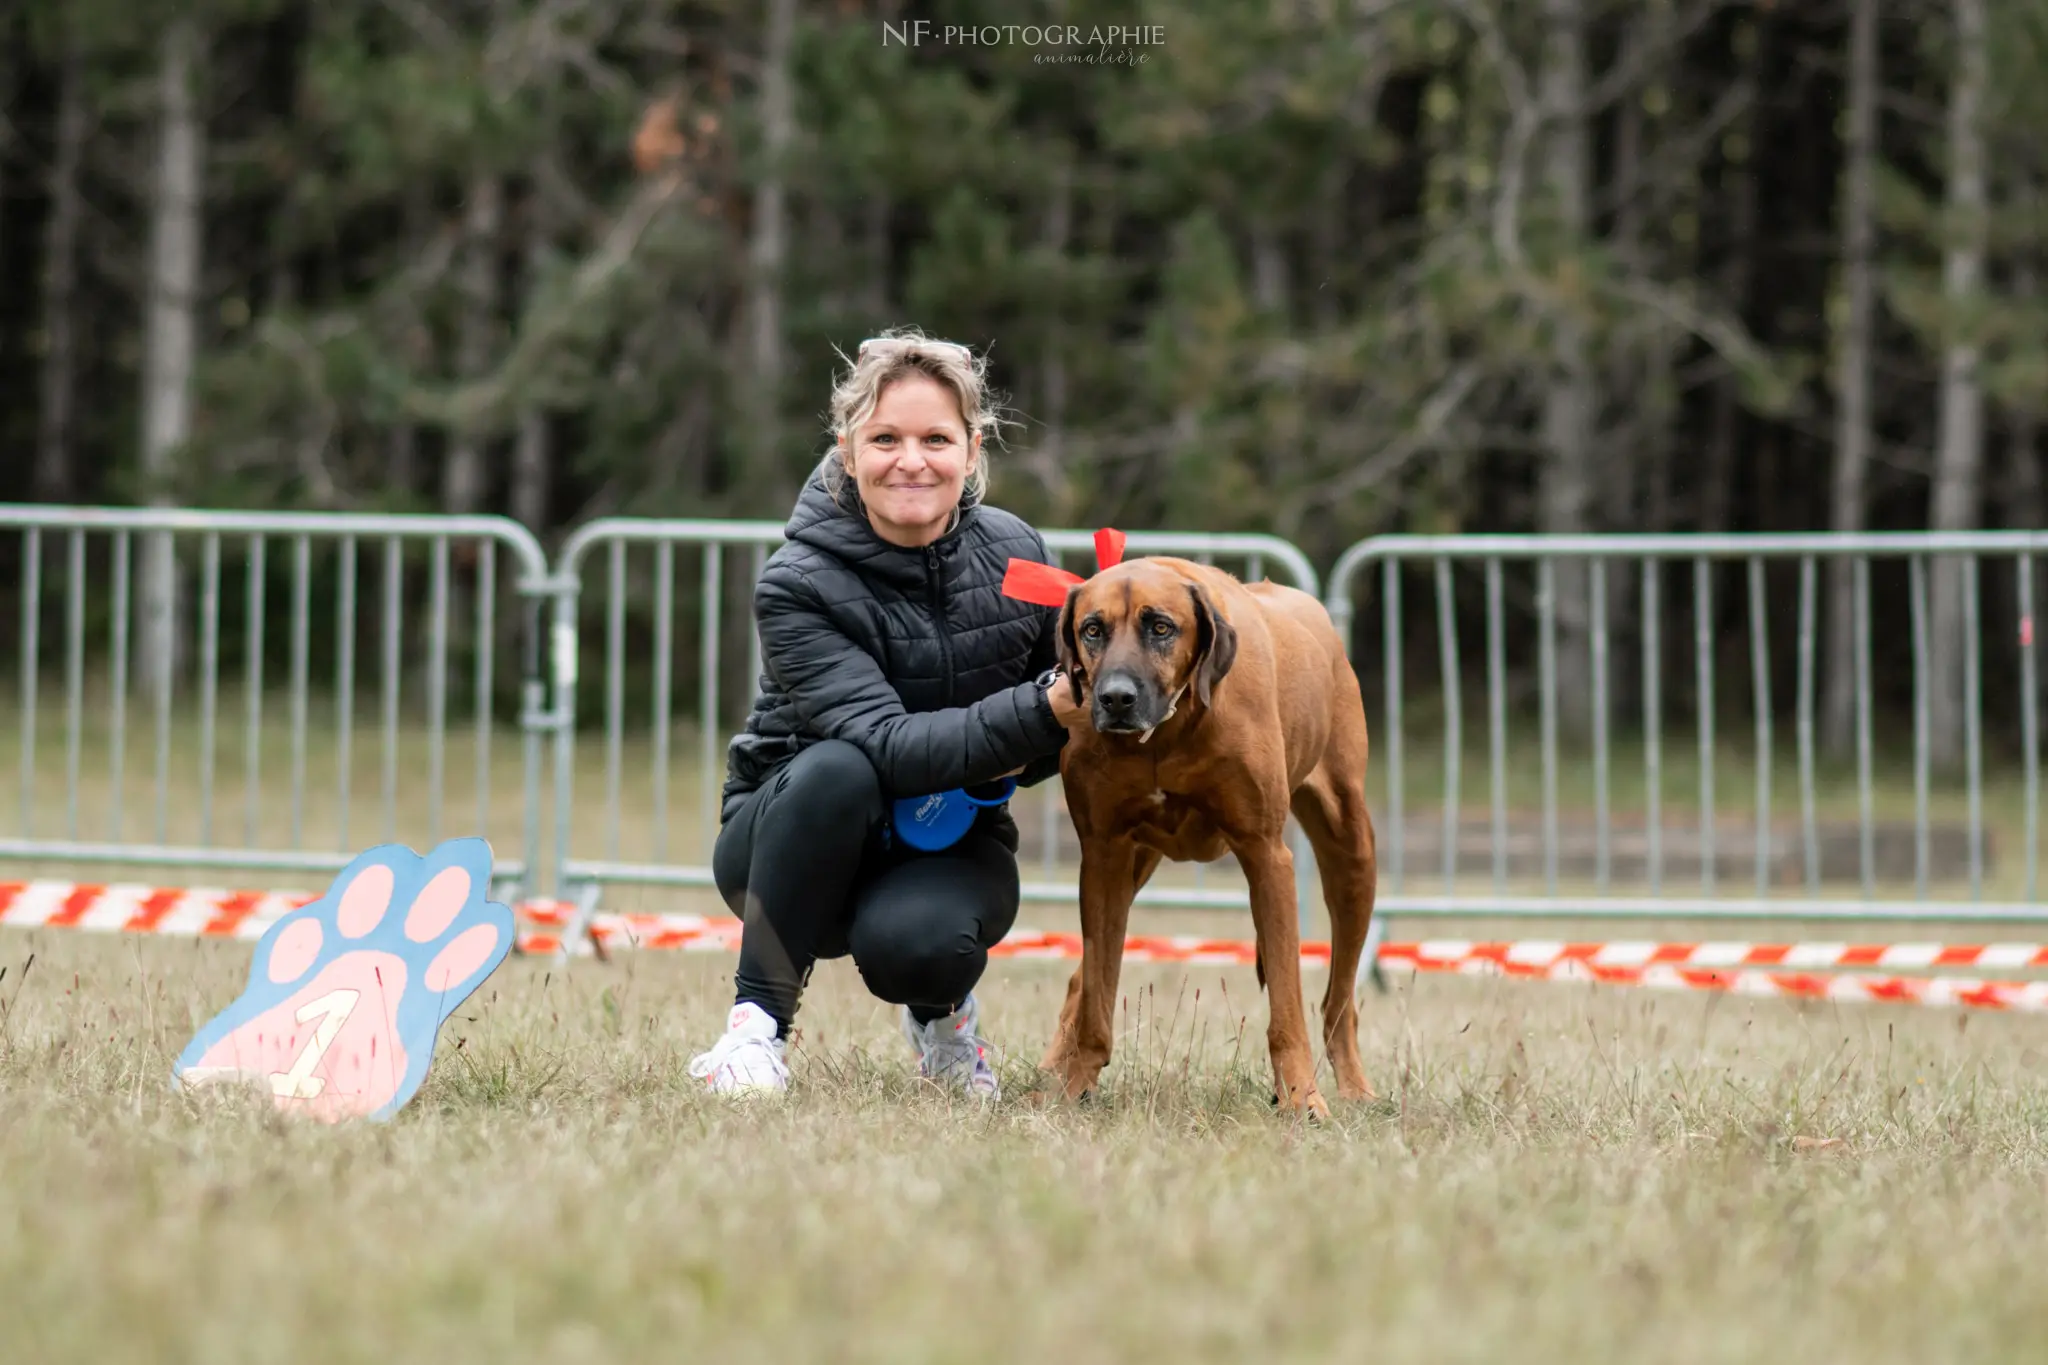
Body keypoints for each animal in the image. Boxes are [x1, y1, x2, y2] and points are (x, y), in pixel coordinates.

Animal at [1040, 556, 1376, 1121]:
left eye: (1161, 627)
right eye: (1092, 629)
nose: (1115, 699)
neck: (1168, 730)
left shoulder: (1267, 855)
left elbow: (1287, 1010)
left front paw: (1302, 1099)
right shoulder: (1103, 856)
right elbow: (1097, 1000)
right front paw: (1071, 1089)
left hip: (1352, 850)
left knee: (1339, 1000)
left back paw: (1355, 1090)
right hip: (1135, 864)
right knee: (1082, 980)